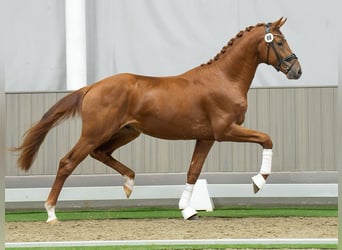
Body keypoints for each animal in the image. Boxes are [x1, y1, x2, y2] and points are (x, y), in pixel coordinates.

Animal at [14, 17, 302, 221]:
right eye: (278, 42)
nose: (296, 70)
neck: (224, 79)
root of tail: (91, 87)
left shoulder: (206, 137)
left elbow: (193, 171)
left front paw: (187, 211)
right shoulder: (225, 131)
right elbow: (267, 139)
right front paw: (257, 183)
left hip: (127, 132)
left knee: (101, 153)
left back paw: (129, 184)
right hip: (95, 133)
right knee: (67, 162)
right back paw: (51, 213)